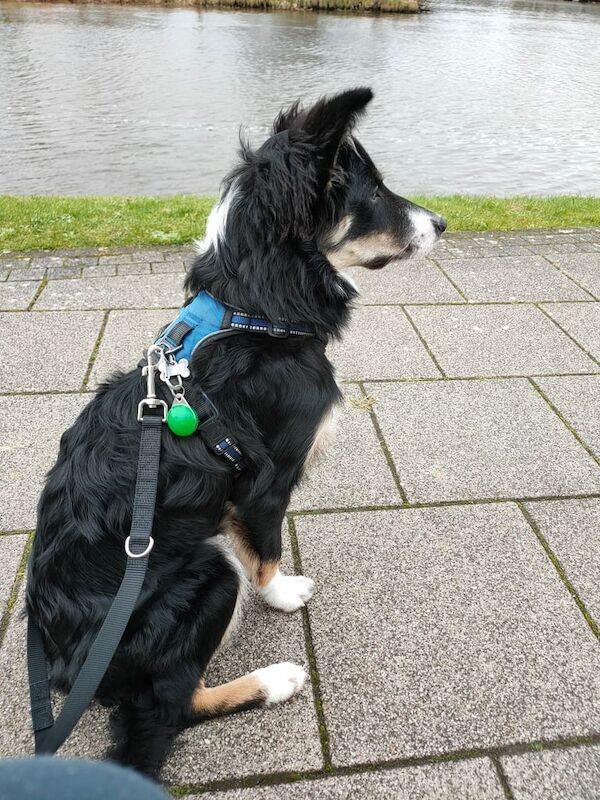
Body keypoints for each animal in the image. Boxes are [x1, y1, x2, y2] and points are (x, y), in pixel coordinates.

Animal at [27, 87, 446, 776]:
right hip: (207, 570)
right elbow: (266, 552)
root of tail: (68, 671)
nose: (442, 224)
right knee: (171, 706)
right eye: (375, 192)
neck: (257, 311)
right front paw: (284, 595)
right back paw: (277, 679)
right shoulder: (265, 483)